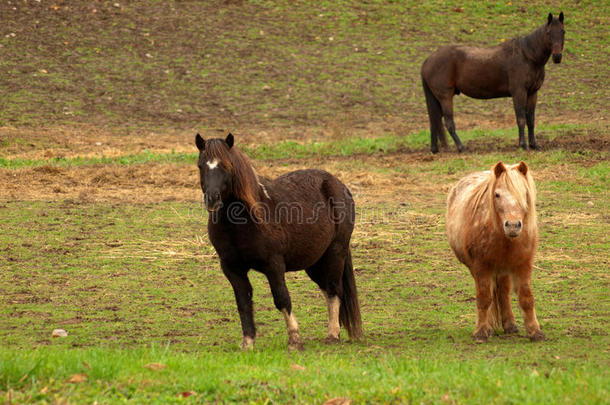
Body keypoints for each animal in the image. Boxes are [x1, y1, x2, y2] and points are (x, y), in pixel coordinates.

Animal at [194, 134, 360, 348]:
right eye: (200, 165)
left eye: (227, 165)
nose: (212, 199)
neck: (244, 221)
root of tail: (338, 184)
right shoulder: (232, 268)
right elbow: (243, 303)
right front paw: (248, 343)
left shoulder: (273, 265)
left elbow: (281, 298)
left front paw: (294, 339)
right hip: (314, 261)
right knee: (327, 289)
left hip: (335, 253)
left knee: (334, 290)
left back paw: (332, 334)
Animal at [420, 12, 564, 152]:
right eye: (548, 32)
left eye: (563, 31)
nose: (557, 57)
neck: (527, 56)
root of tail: (428, 60)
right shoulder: (519, 93)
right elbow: (521, 119)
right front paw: (523, 145)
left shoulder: (532, 93)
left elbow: (531, 120)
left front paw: (534, 145)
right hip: (445, 97)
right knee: (449, 122)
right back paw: (461, 147)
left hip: (437, 99)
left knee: (434, 121)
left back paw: (435, 149)